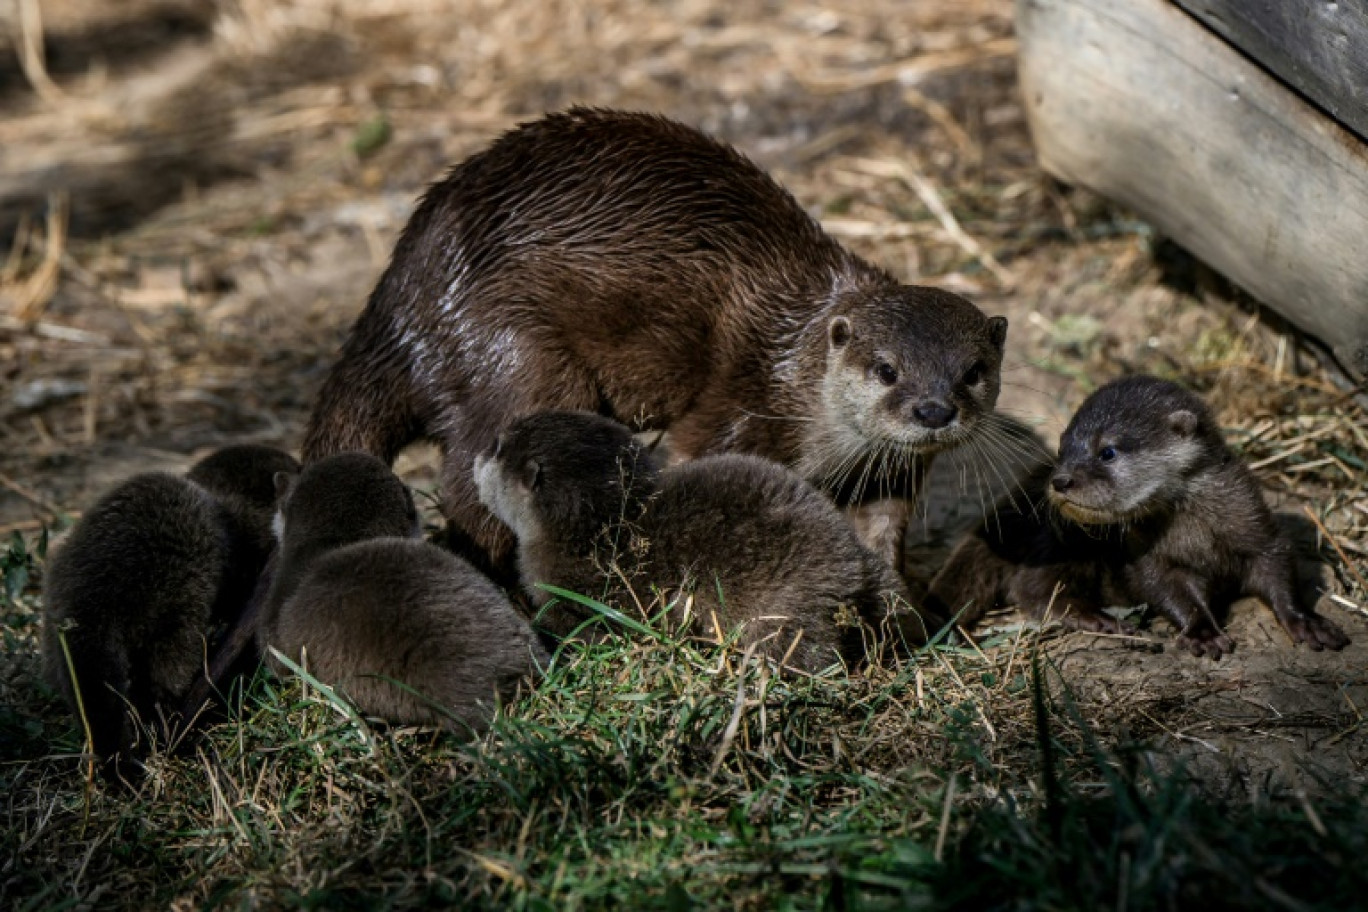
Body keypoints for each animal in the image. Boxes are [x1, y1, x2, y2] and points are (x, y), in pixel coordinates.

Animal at [305, 108, 1012, 577]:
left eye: (971, 371)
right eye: (886, 369)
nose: (933, 409)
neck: (798, 367)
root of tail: (402, 296)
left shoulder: (889, 471)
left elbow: (883, 530)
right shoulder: (742, 402)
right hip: (514, 350)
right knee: (467, 481)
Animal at [476, 410, 935, 675]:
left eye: (498, 447)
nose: (477, 458)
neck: (597, 529)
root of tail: (847, 572)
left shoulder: (572, 592)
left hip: (783, 612)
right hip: (874, 569)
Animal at [924, 374, 1351, 659]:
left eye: (1108, 451)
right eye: (1062, 447)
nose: (1060, 480)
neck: (1199, 533)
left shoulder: (1253, 522)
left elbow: (1276, 565)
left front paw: (1306, 621)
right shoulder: (1148, 556)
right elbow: (1167, 588)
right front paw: (1201, 632)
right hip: (1058, 542)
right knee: (1034, 588)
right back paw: (1102, 620)